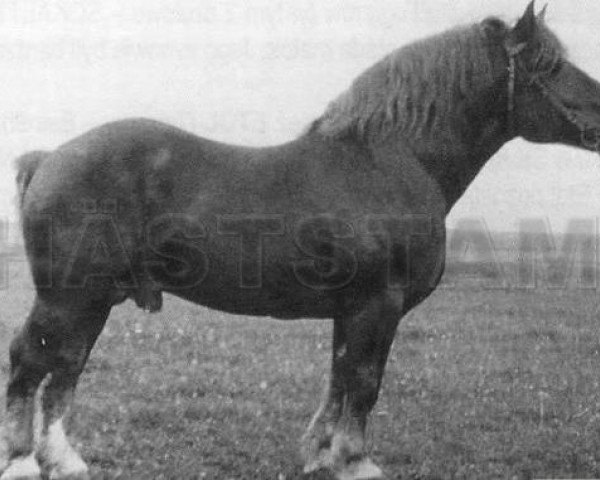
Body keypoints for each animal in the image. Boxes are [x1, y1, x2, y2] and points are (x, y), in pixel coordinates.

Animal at [1, 3, 600, 480]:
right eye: (549, 65)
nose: (598, 113)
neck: (387, 163)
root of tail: (49, 157)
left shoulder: (351, 310)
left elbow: (339, 378)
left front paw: (320, 455)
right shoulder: (376, 306)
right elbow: (363, 381)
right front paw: (357, 462)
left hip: (92, 299)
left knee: (66, 366)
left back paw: (65, 460)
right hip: (69, 296)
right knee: (32, 361)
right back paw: (24, 461)